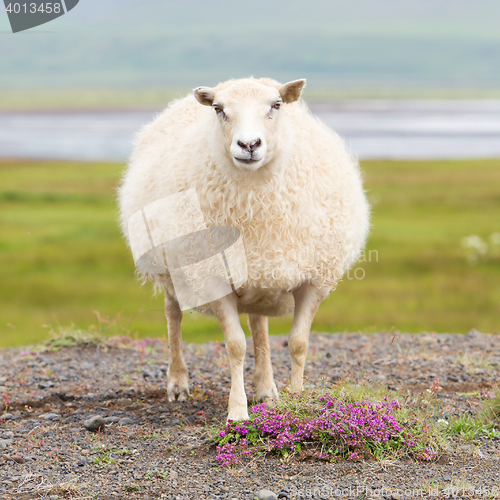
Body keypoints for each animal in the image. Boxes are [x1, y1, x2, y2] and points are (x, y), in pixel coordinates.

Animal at [116, 77, 368, 422]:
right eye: (218, 109)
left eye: (276, 105)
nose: (249, 145)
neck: (256, 206)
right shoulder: (214, 279)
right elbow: (235, 346)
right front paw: (237, 412)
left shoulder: (313, 280)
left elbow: (298, 343)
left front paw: (298, 401)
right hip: (171, 269)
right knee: (173, 316)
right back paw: (178, 382)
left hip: (258, 272)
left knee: (259, 325)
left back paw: (266, 389)